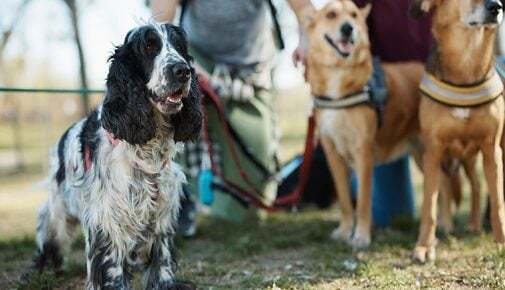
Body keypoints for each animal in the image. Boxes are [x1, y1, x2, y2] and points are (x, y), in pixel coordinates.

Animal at [304, 0, 426, 249]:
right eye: (331, 15)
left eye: (353, 15)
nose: (348, 28)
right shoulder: (333, 153)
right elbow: (344, 200)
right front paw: (344, 231)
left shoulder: (363, 153)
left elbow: (362, 201)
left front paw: (360, 236)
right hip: (422, 153)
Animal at [410, 0, 504, 262]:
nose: (497, 7)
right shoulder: (433, 151)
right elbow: (429, 207)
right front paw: (424, 247)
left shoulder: (492, 149)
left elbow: (498, 202)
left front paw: (501, 241)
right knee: (465, 186)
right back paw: (462, 225)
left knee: (478, 186)